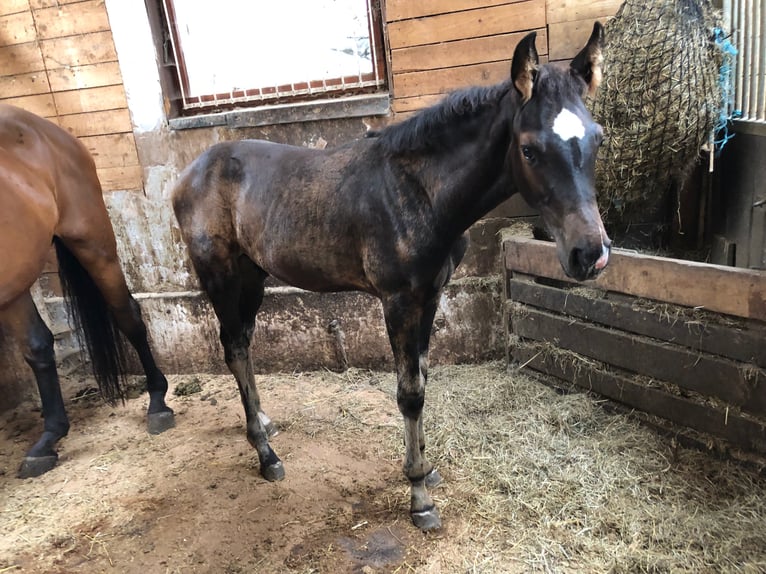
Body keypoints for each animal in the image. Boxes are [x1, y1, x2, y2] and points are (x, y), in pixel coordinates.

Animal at [0, 104, 176, 482]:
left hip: (93, 244)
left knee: (127, 316)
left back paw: (157, 403)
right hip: (15, 282)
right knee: (38, 345)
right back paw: (47, 440)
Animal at [172, 24, 612, 532]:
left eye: (598, 139)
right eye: (529, 148)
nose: (590, 254)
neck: (420, 191)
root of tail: (188, 175)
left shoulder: (431, 295)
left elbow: (422, 375)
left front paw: (427, 467)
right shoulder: (399, 300)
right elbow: (409, 394)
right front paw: (419, 497)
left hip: (254, 279)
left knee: (241, 344)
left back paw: (264, 425)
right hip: (222, 278)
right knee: (234, 348)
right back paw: (266, 455)